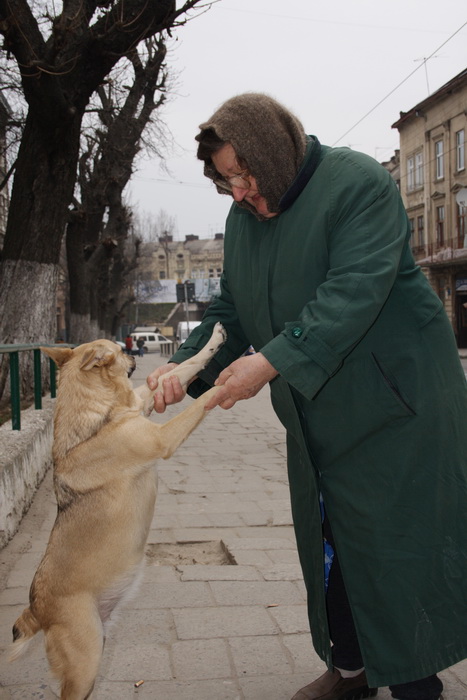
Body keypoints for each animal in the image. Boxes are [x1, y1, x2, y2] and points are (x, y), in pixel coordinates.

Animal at [8, 322, 226, 700]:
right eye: (120, 349)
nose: (133, 352)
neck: (98, 416)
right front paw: (233, 380)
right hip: (84, 662)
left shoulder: (144, 401)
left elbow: (188, 364)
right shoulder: (161, 437)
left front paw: (215, 339)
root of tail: (36, 609)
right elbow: (200, 403)